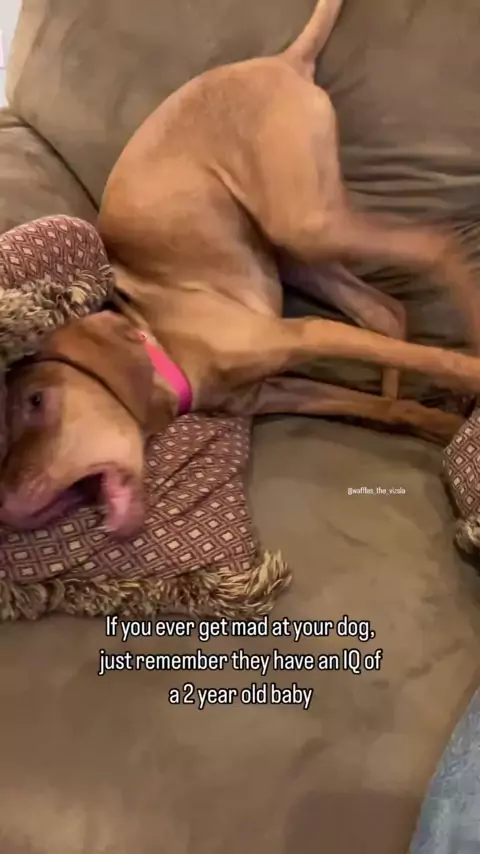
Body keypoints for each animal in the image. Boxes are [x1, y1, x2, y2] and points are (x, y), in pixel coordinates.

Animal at [2, 0, 480, 537]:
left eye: (36, 402)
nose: (4, 507)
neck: (157, 337)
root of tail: (282, 60)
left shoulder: (304, 333)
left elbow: (433, 358)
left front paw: (464, 384)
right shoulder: (275, 388)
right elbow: (373, 403)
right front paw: (431, 421)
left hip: (303, 222)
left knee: (437, 245)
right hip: (292, 247)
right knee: (387, 310)